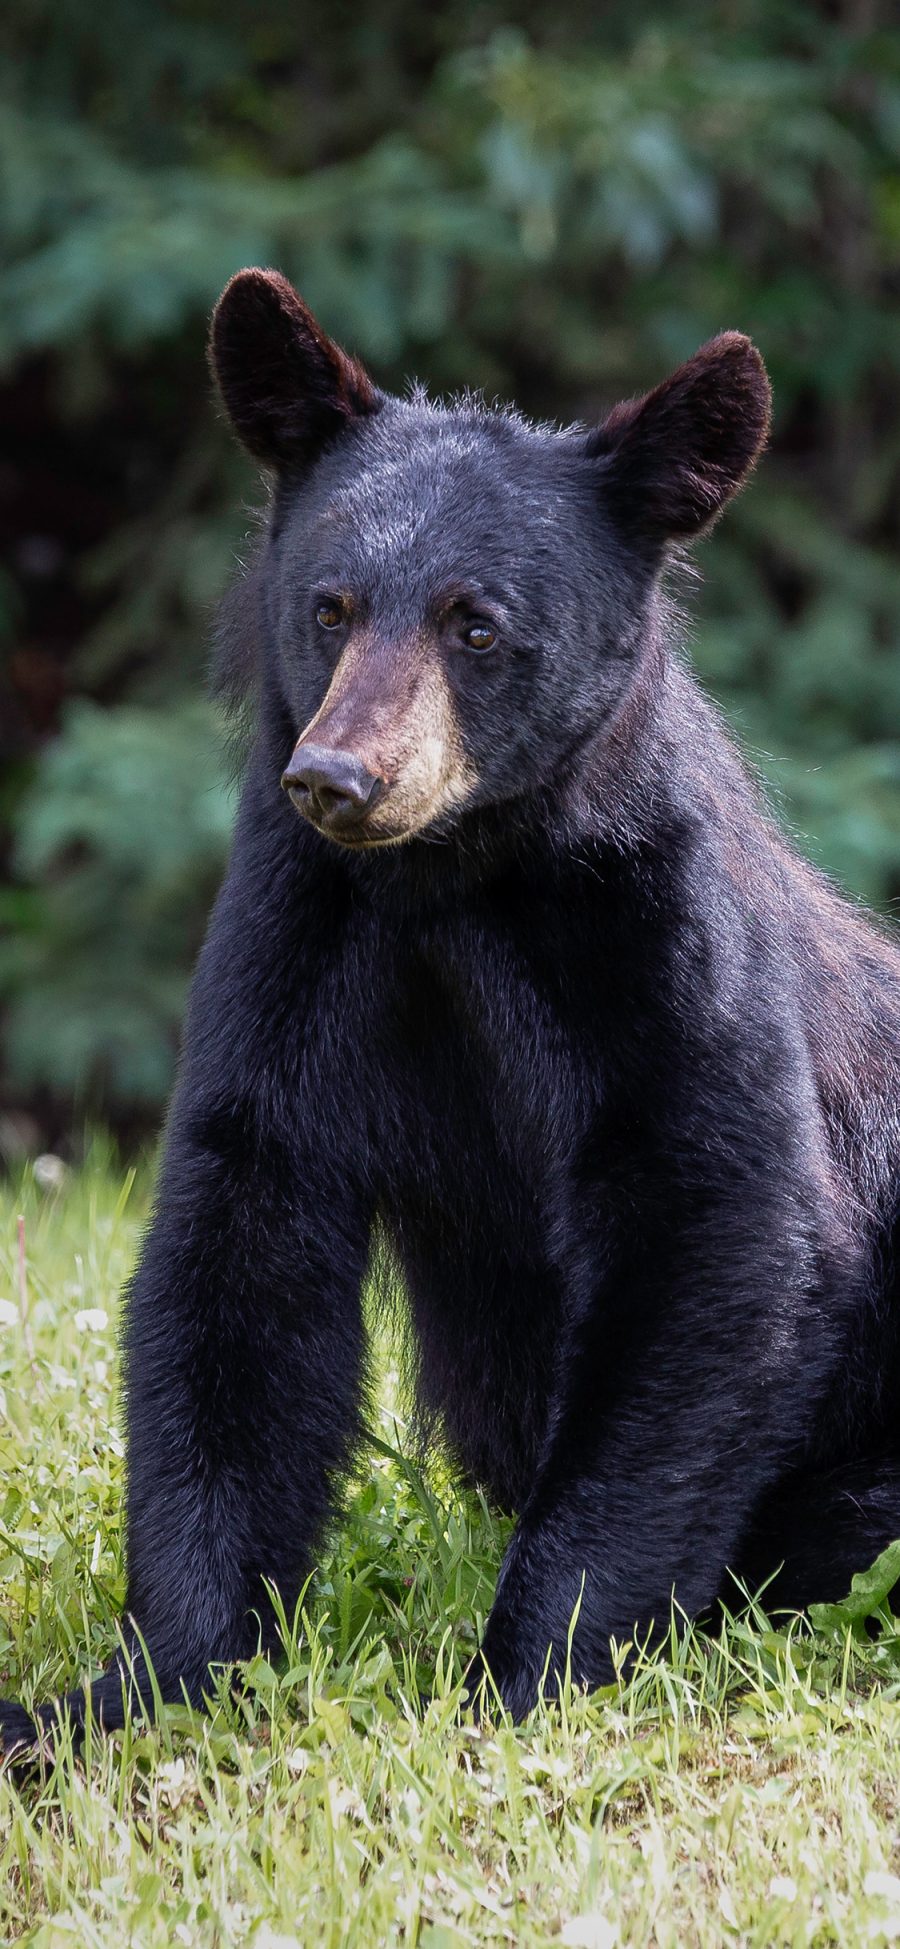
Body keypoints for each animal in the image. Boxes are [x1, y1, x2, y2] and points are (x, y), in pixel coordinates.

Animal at [1, 263, 900, 1754]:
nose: (339, 777)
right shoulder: (296, 935)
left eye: (477, 624)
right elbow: (242, 1242)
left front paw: (524, 1675)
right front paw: (136, 1685)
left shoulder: (659, 937)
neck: (454, 882)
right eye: (329, 604)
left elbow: (715, 1226)